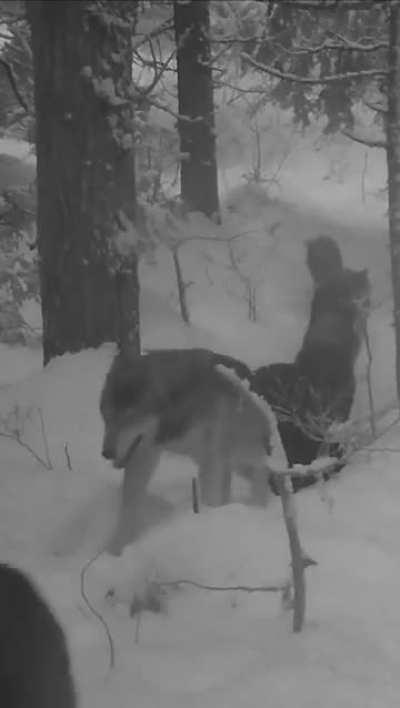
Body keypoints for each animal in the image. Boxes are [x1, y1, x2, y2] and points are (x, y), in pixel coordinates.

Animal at [100, 348, 275, 553]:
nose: (106, 453)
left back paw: (258, 507)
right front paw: (116, 551)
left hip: (236, 455)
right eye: (107, 417)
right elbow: (128, 509)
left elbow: (210, 497)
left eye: (129, 418)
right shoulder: (144, 452)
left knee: (263, 472)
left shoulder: (211, 459)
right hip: (220, 461)